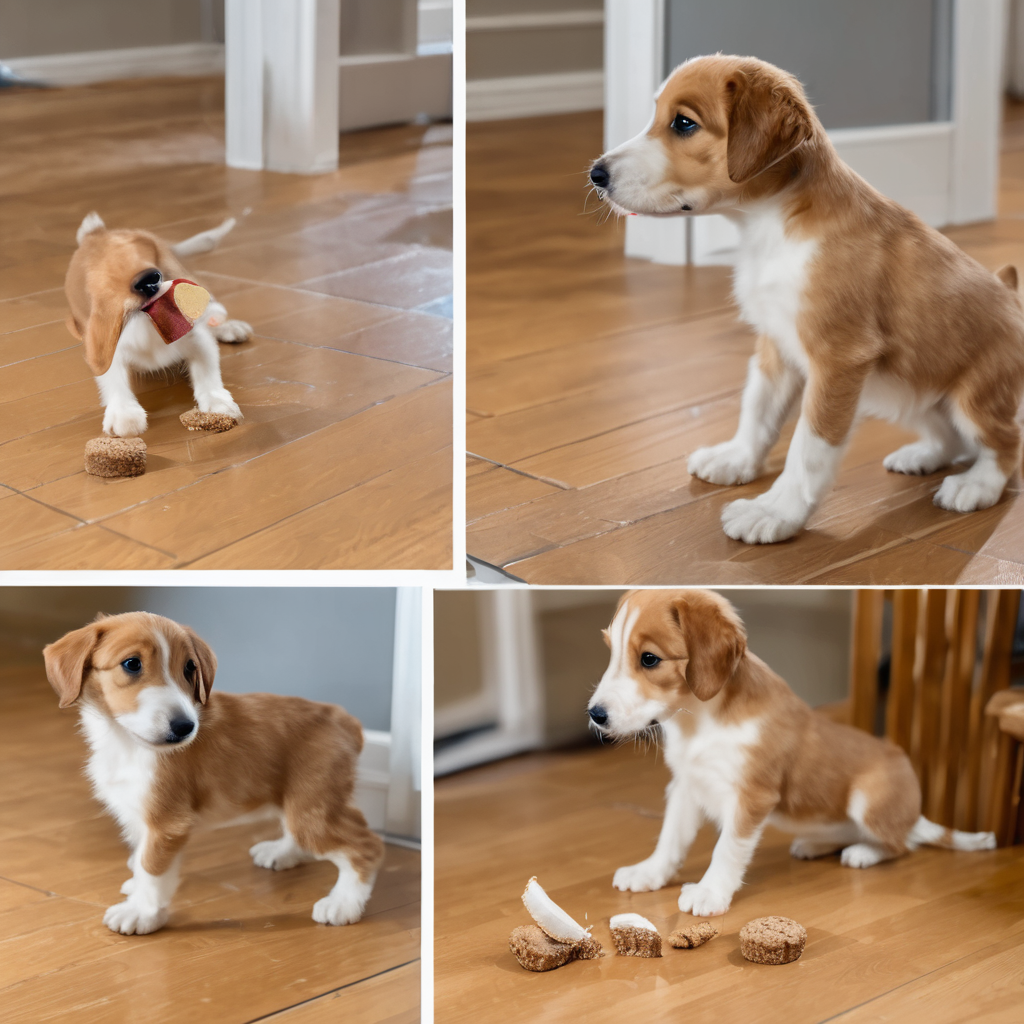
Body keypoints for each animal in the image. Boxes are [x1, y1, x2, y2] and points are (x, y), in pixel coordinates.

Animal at [40, 610, 387, 933]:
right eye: (132, 664)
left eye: (189, 668)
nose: (185, 727)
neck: (125, 741)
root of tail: (343, 718)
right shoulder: (139, 815)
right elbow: (139, 857)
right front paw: (135, 888)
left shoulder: (167, 824)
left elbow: (152, 867)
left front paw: (141, 912)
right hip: (300, 802)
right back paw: (282, 852)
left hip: (313, 809)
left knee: (366, 846)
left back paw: (343, 904)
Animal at [64, 214, 251, 438]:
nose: (149, 279)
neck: (148, 325)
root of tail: (95, 232)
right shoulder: (107, 350)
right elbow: (114, 379)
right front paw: (124, 413)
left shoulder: (198, 339)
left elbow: (207, 373)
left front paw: (217, 403)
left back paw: (229, 326)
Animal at [589, 54, 1024, 544]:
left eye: (683, 123)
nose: (596, 174)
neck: (768, 228)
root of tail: (1011, 293)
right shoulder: (775, 345)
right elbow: (757, 410)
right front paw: (737, 458)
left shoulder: (839, 361)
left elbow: (809, 446)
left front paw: (776, 512)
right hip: (898, 391)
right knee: (950, 436)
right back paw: (921, 456)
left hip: (970, 396)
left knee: (1004, 441)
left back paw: (975, 486)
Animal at [589, 593, 995, 921]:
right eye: (612, 653)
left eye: (649, 659)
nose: (595, 714)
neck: (699, 722)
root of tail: (914, 814)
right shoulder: (687, 784)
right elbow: (670, 838)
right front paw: (649, 872)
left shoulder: (752, 796)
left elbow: (727, 849)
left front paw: (710, 892)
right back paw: (817, 844)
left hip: (869, 797)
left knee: (902, 844)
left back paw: (863, 852)